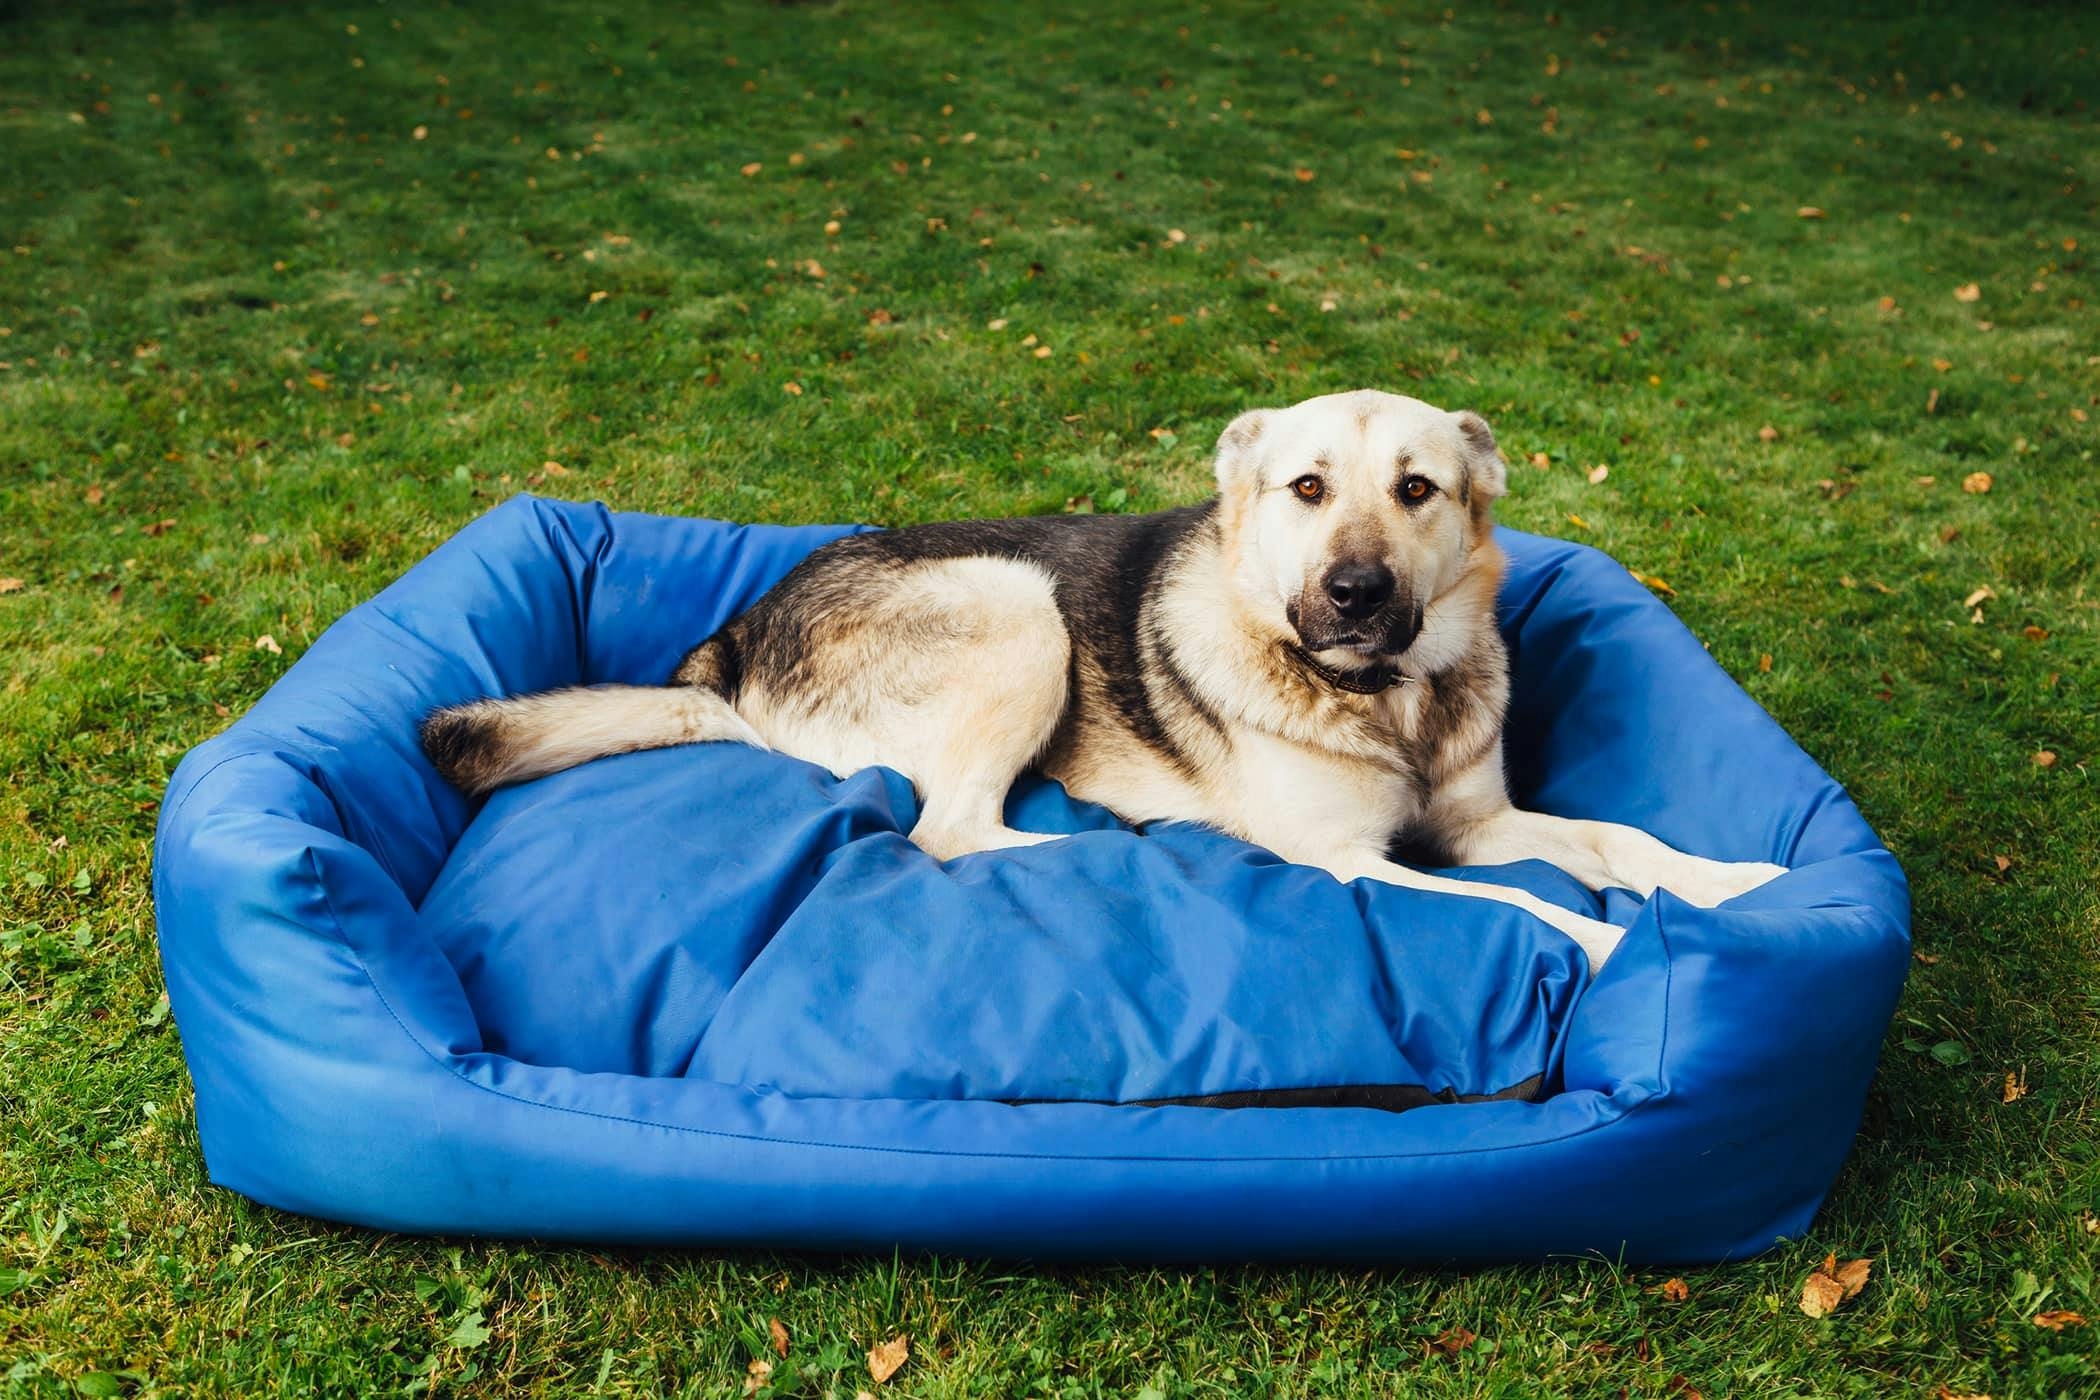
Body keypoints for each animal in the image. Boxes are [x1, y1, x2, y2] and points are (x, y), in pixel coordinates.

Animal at [422, 388, 1789, 969]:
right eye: (1306, 488)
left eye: (1418, 490)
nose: (1356, 594)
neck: (1384, 694)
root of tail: (736, 641)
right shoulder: (1356, 862)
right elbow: (1516, 905)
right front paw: (1606, 944)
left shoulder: (1481, 818)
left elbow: (1619, 839)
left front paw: (1733, 884)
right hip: (1015, 605)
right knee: (950, 832)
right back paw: (1089, 849)